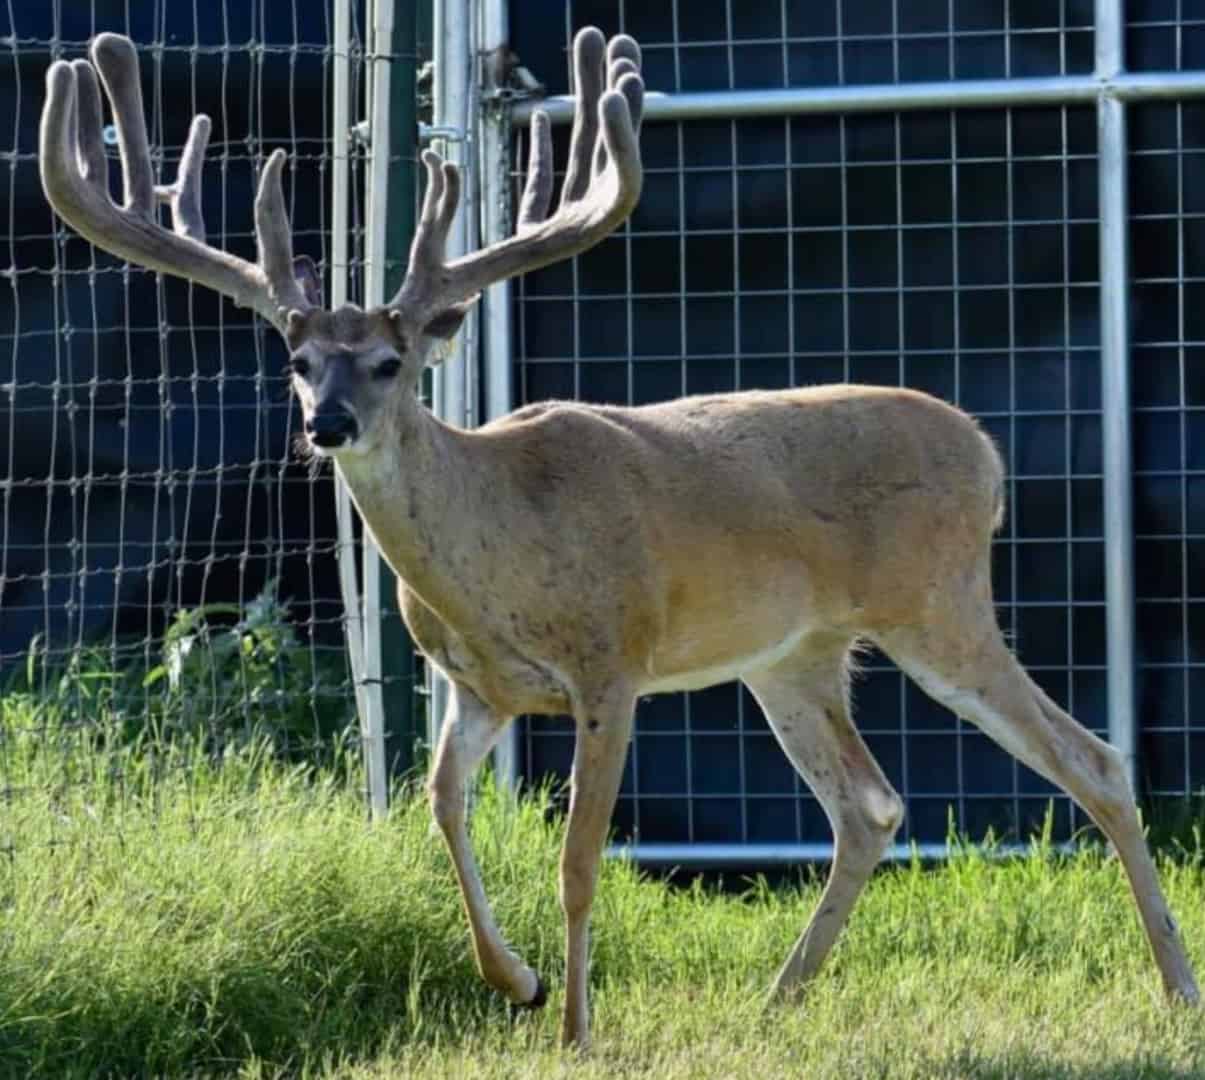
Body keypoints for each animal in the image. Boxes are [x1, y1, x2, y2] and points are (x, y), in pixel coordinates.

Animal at [40, 26, 1199, 1050]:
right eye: (296, 359)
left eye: (389, 362)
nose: (327, 426)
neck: (495, 532)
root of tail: (984, 449)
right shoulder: (474, 687)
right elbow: (439, 810)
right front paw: (513, 981)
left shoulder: (612, 661)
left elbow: (578, 860)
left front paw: (573, 1027)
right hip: (793, 655)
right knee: (866, 805)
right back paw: (774, 1000)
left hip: (936, 602)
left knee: (1093, 761)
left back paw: (1175, 987)